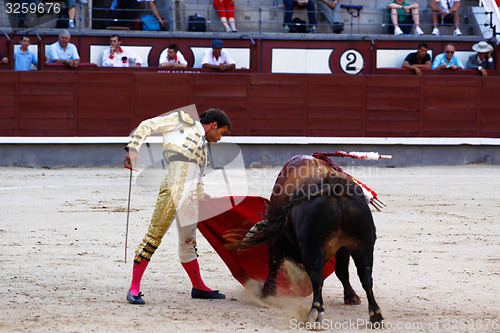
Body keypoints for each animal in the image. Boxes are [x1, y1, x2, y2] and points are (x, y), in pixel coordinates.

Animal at [237, 154, 382, 322]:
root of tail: (335, 187)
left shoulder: (276, 241)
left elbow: (274, 262)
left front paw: (267, 293)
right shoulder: (344, 247)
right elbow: (342, 270)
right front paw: (351, 297)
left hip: (313, 247)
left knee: (317, 277)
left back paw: (316, 310)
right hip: (364, 244)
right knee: (365, 275)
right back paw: (375, 314)